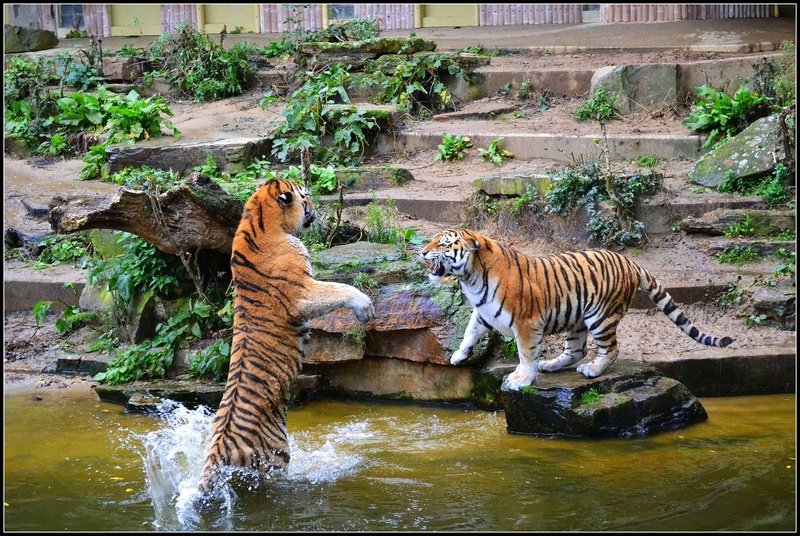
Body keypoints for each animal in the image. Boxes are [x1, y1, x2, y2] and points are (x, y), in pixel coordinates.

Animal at [197, 178, 375, 495]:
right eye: (305, 195)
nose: (316, 209)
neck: (258, 221)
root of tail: (219, 449)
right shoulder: (303, 293)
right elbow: (338, 289)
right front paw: (364, 306)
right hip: (276, 456)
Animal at [420, 228, 733, 391]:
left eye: (443, 244)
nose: (422, 252)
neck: (471, 278)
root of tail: (631, 261)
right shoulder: (484, 312)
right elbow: (470, 332)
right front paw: (459, 356)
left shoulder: (526, 322)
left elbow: (525, 353)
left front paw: (521, 379)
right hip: (575, 317)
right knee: (576, 350)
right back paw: (551, 364)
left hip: (600, 316)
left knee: (610, 349)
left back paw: (593, 369)